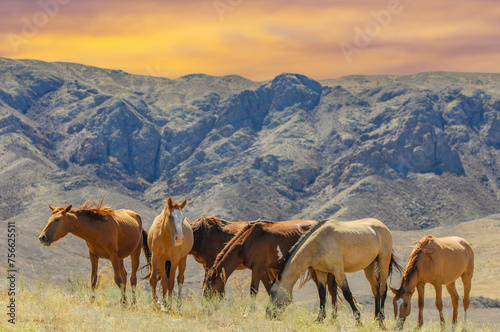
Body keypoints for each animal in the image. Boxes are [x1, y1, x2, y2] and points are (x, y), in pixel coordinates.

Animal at [204, 219, 340, 320]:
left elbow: (253, 290)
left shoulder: (257, 269)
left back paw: (332, 317)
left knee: (331, 290)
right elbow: (270, 289)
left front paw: (250, 313)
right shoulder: (263, 270)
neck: (246, 242)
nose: (207, 311)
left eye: (210, 289)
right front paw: (275, 312)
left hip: (317, 268)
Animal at [266, 219, 402, 326]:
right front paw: (319, 318)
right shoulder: (321, 271)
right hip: (369, 266)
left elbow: (347, 294)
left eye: (272, 292)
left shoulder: (338, 270)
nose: (268, 313)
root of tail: (383, 226)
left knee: (383, 289)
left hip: (383, 261)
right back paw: (376, 318)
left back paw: (381, 320)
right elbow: (322, 293)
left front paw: (358, 320)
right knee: (375, 289)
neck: (319, 243)